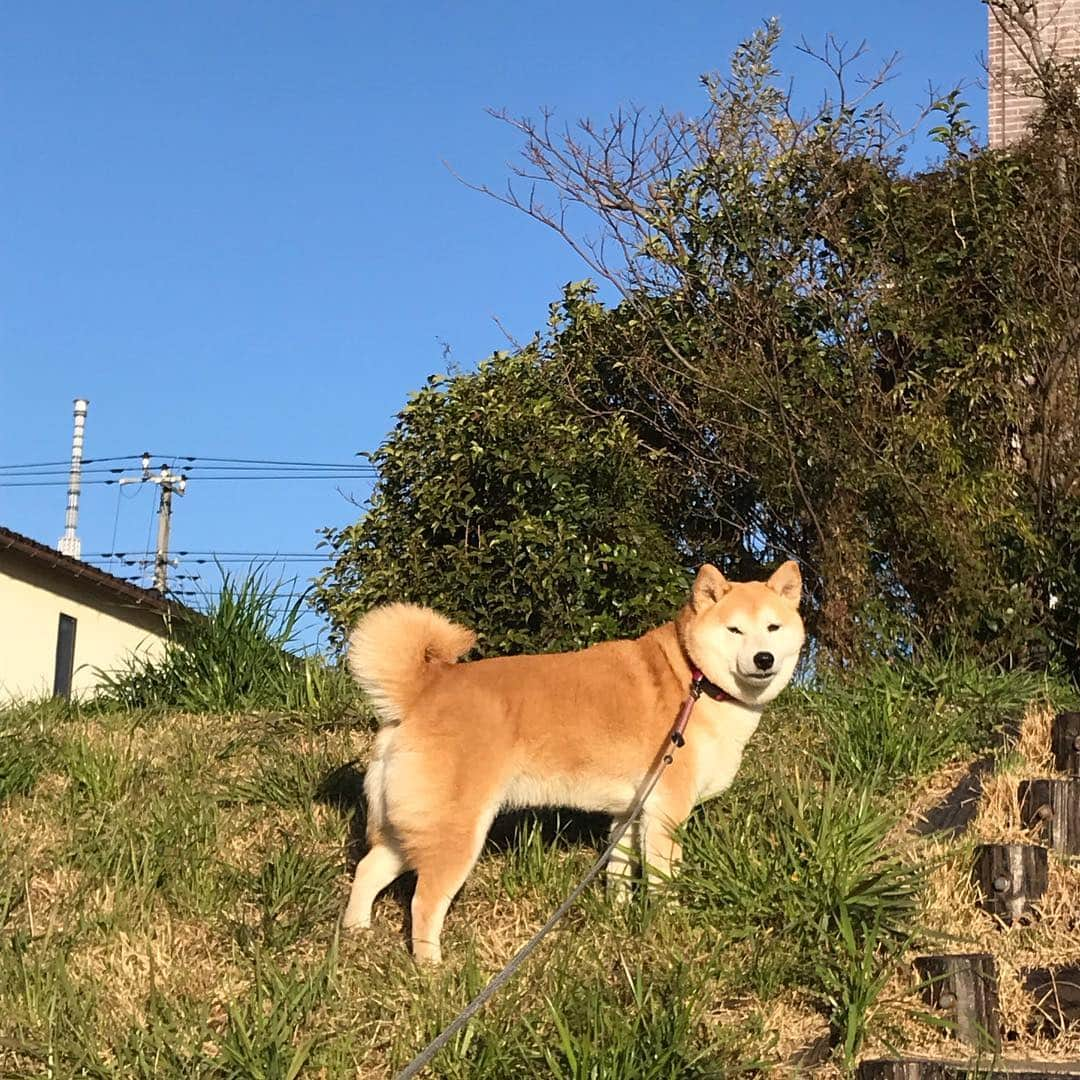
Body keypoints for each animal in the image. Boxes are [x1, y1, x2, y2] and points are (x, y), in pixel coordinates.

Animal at [341, 561, 807, 959]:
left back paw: (355, 934)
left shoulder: (630, 813)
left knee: (367, 870)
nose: (763, 658)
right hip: (455, 831)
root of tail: (424, 689)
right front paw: (669, 927)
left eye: (772, 627)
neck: (695, 680)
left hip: (412, 824)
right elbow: (662, 880)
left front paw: (617, 921)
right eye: (734, 630)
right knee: (423, 901)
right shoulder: (665, 812)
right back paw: (432, 970)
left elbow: (618, 874)